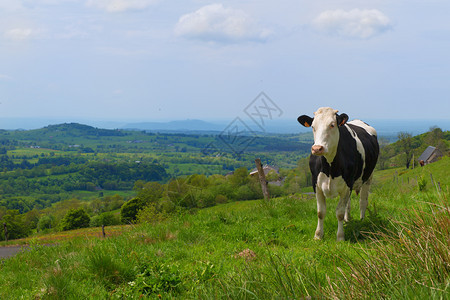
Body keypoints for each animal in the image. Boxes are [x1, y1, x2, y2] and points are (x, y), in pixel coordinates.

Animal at [298, 106, 380, 240]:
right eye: (313, 126)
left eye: (332, 125)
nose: (317, 148)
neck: (330, 167)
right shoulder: (316, 184)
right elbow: (321, 212)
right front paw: (318, 235)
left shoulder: (347, 184)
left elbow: (339, 213)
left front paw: (340, 237)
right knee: (348, 204)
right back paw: (348, 220)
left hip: (368, 177)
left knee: (363, 201)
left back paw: (362, 220)